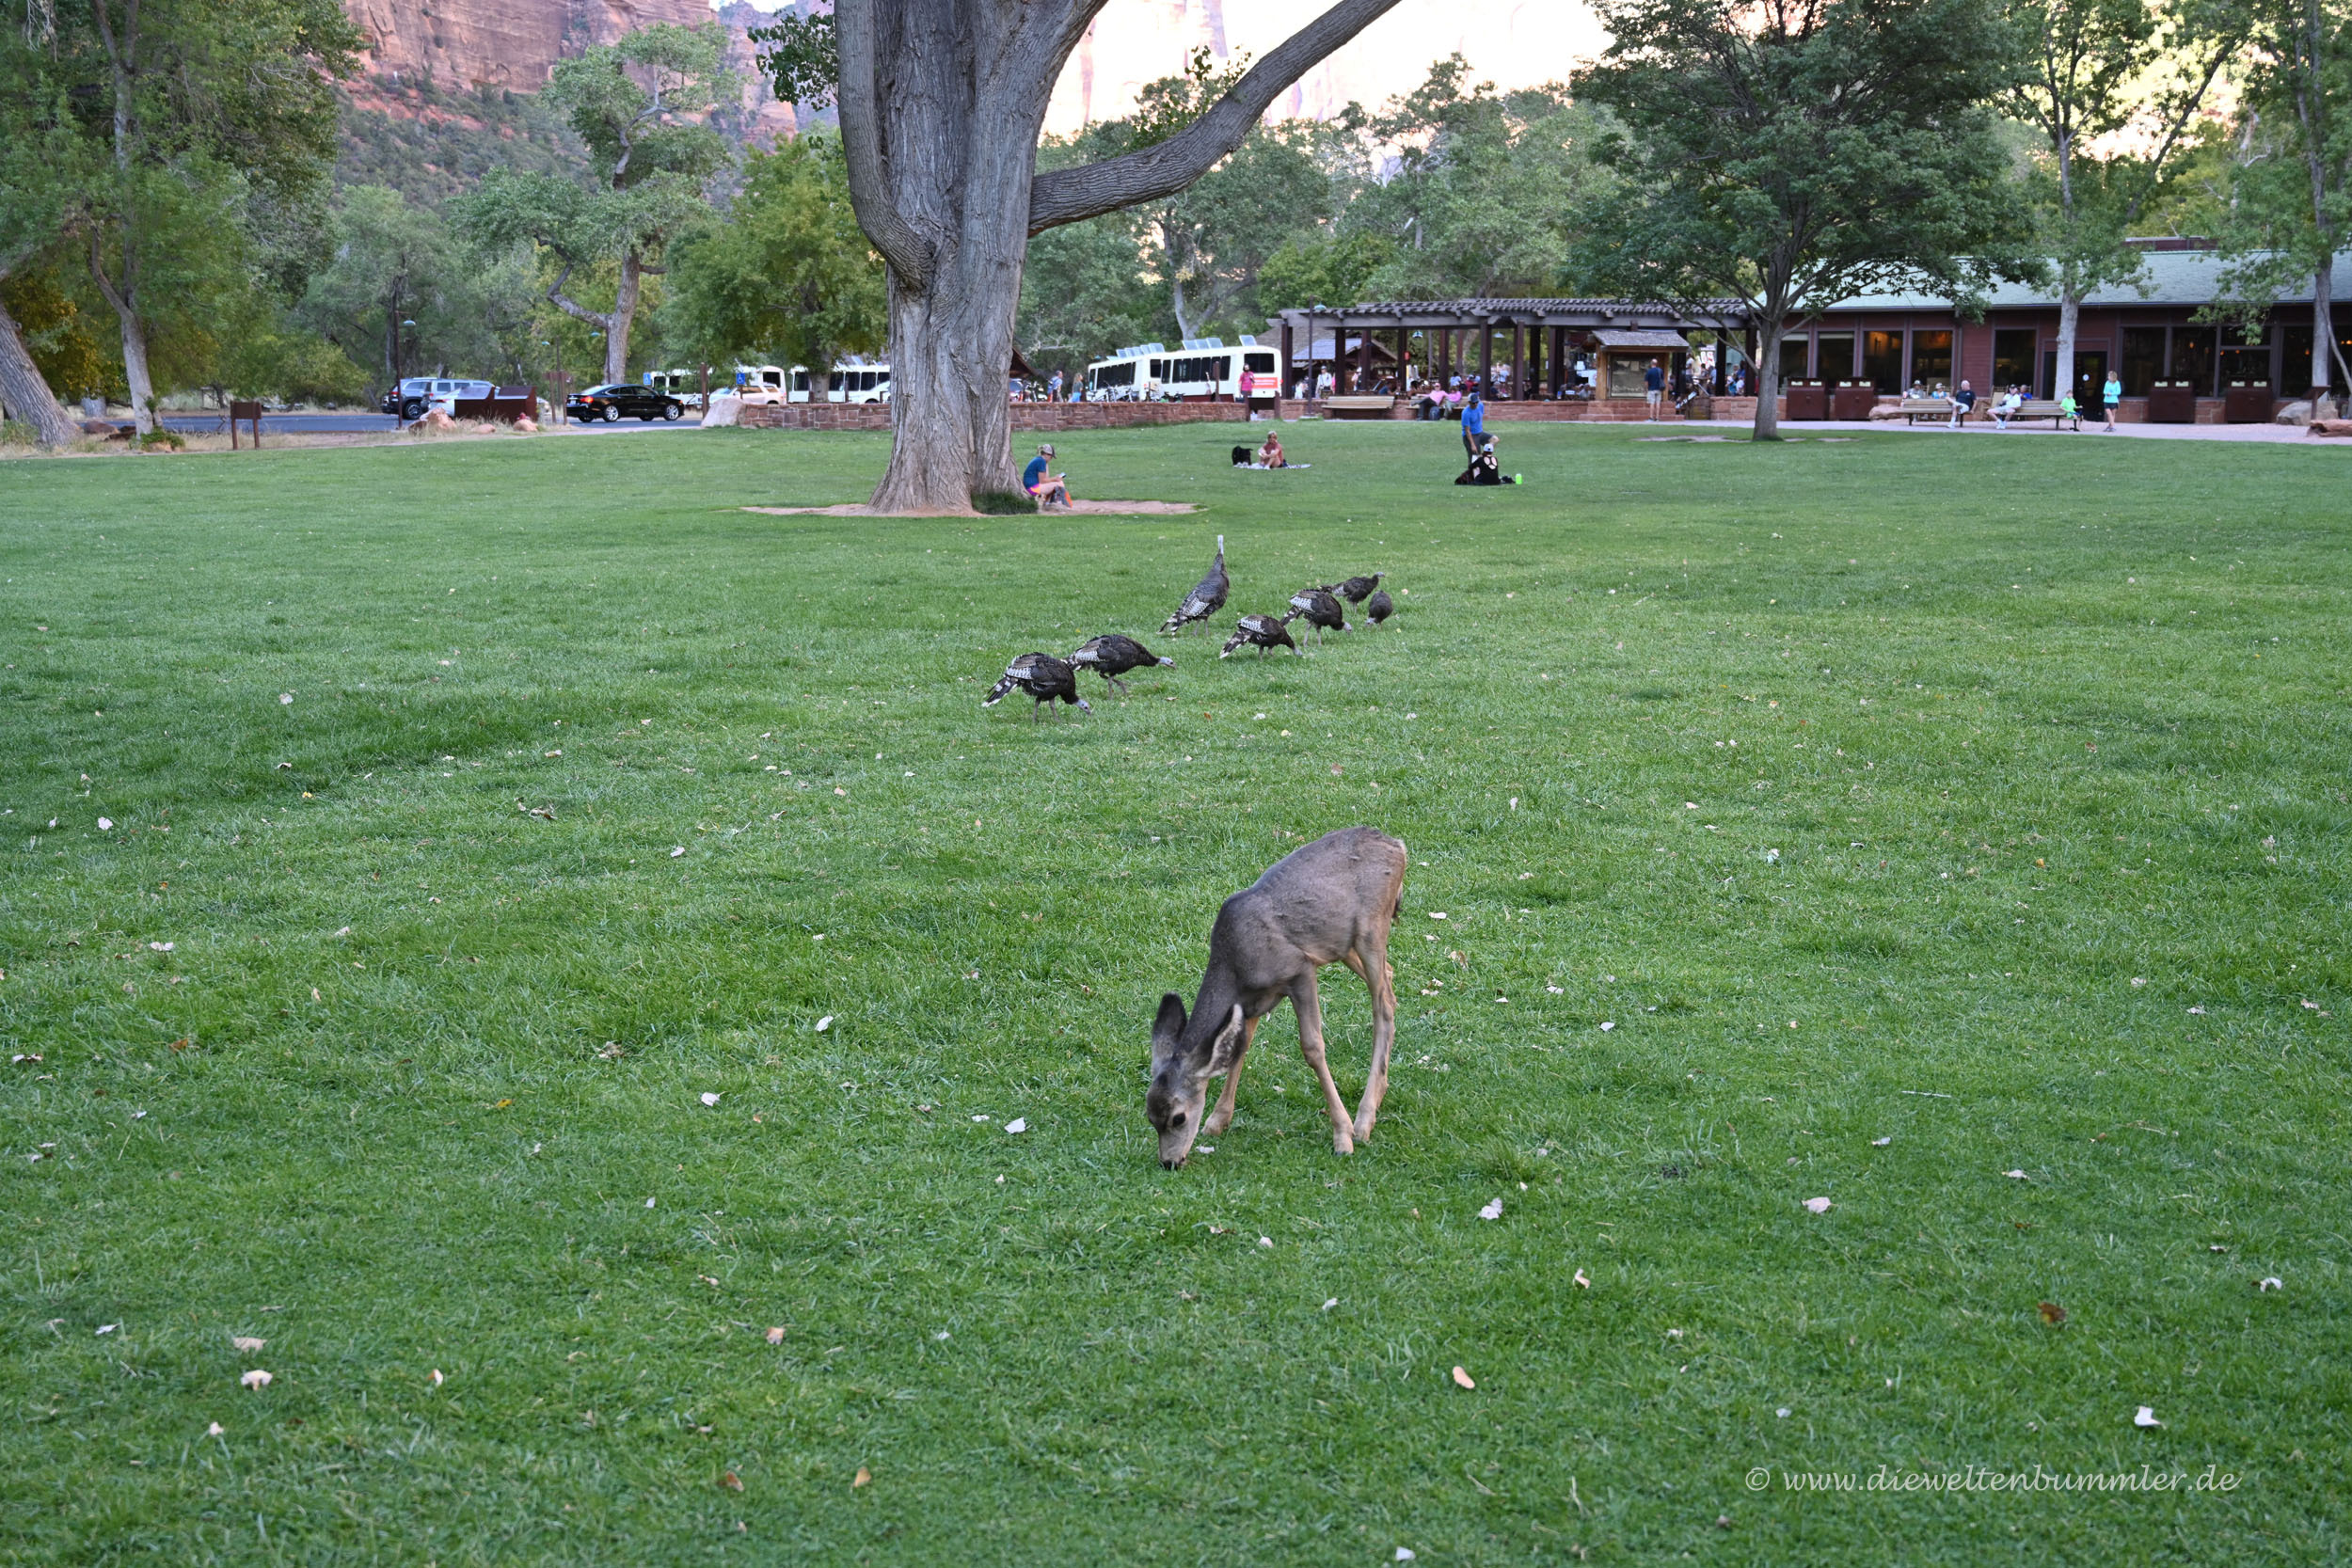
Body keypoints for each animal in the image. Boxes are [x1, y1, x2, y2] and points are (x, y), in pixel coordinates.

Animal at [1146, 826, 1406, 1168]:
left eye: (1178, 1117)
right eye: (1150, 1116)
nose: (1169, 1162)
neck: (1235, 966)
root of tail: (1398, 846)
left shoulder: (1299, 970)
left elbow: (1312, 1047)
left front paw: (1343, 1135)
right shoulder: (1251, 1002)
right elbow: (1240, 1047)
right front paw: (1217, 1121)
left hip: (1372, 928)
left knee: (1383, 1002)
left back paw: (1364, 1120)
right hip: (1341, 943)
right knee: (1390, 977)